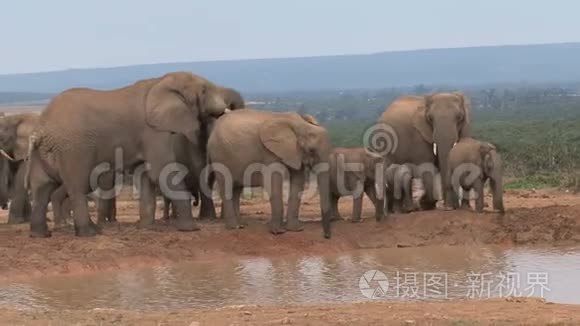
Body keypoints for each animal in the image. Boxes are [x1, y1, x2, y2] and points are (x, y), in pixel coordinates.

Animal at [26, 71, 240, 237]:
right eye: (203, 91)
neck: (160, 81)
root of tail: (41, 128)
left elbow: (145, 175)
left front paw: (146, 227)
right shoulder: (154, 132)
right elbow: (163, 172)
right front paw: (191, 229)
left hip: (44, 152)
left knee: (42, 188)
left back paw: (40, 234)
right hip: (73, 149)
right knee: (78, 186)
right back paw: (89, 233)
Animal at [210, 108, 334, 238]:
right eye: (311, 150)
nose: (326, 237)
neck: (300, 124)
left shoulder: (295, 152)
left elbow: (298, 180)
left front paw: (296, 230)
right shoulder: (269, 152)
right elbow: (273, 180)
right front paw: (278, 232)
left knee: (236, 190)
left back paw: (241, 225)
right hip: (219, 156)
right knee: (227, 188)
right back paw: (233, 227)